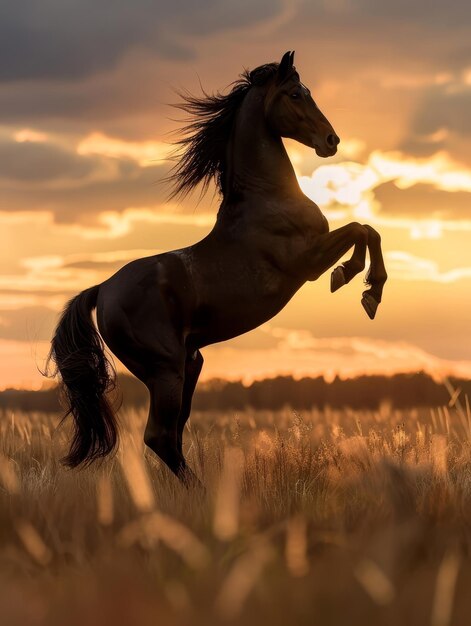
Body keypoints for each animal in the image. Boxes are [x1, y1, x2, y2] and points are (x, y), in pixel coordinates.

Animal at [47, 52, 388, 482]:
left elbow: (367, 229)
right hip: (165, 368)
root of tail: (103, 289)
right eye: (296, 93)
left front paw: (361, 286)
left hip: (189, 364)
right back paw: (201, 490)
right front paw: (358, 283)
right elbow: (362, 230)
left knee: (174, 432)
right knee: (160, 435)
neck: (266, 198)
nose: (332, 141)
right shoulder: (306, 261)